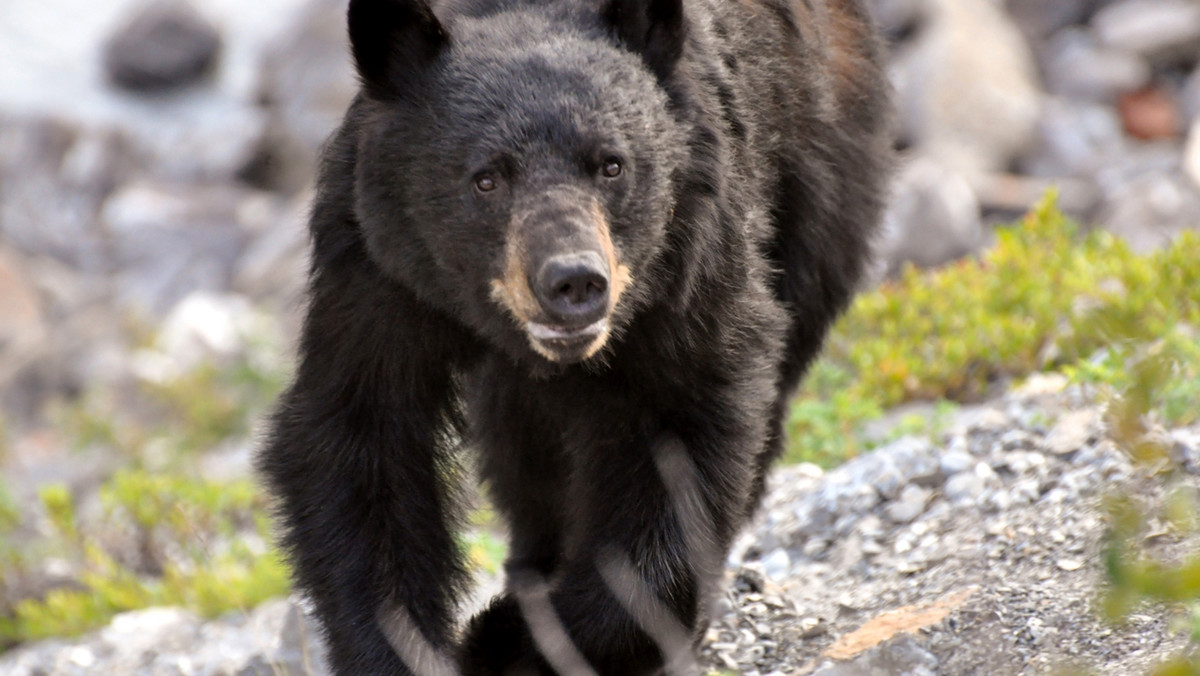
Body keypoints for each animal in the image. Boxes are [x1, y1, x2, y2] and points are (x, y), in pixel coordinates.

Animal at [260, 0, 892, 672]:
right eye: (486, 178)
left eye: (611, 164)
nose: (574, 281)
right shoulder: (379, 268)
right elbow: (359, 438)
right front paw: (410, 647)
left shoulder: (689, 254)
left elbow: (684, 431)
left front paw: (515, 636)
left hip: (817, 163)